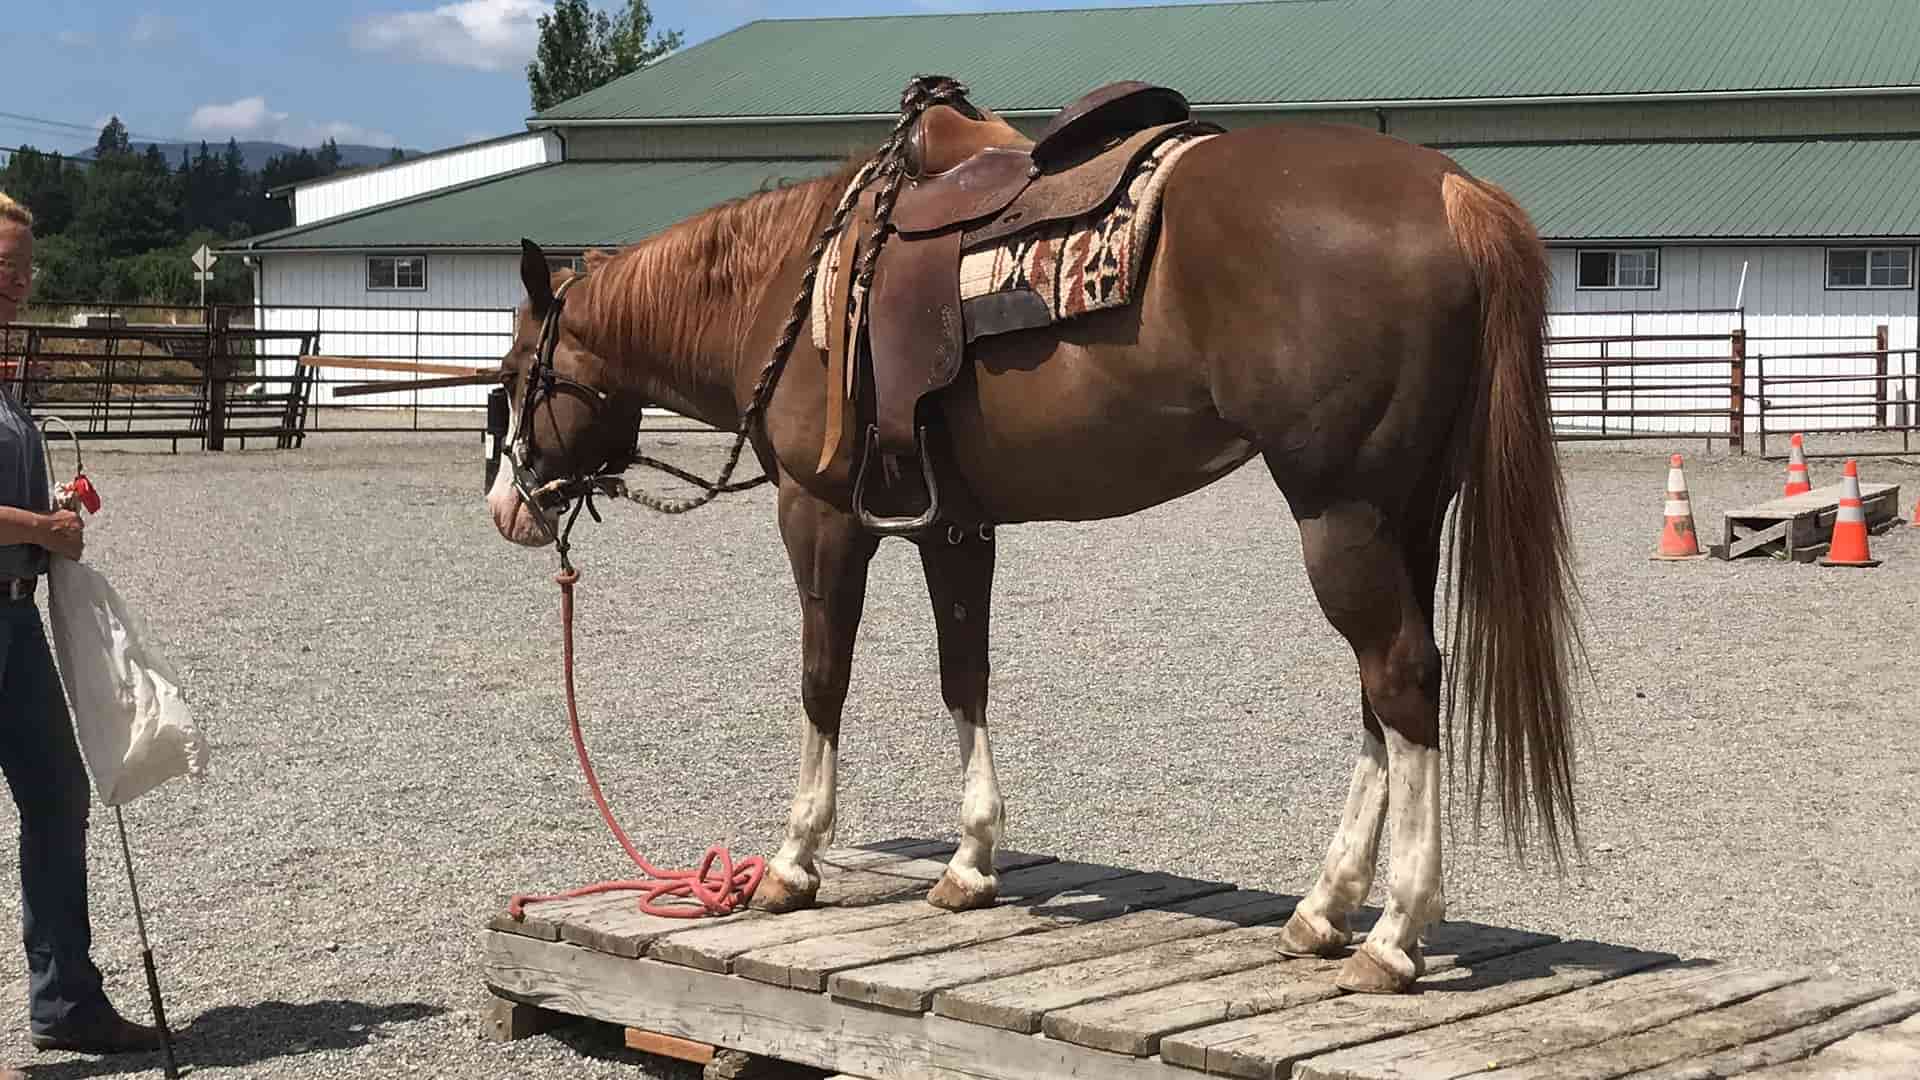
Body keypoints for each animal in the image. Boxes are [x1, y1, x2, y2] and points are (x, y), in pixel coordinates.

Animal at [483, 100, 1581, 996]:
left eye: (516, 370)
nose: (505, 506)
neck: (793, 285)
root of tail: (1450, 191)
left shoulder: (820, 514)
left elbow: (821, 679)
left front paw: (793, 862)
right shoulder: (952, 525)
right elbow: (962, 674)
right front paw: (970, 864)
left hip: (1341, 514)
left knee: (1400, 680)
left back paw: (1393, 936)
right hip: (1405, 515)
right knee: (1384, 698)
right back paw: (1323, 910)